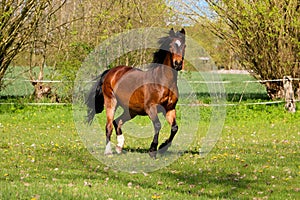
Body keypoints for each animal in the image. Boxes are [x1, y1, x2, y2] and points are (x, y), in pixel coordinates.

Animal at [85, 28, 186, 159]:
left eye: (184, 46)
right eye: (170, 45)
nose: (178, 64)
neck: (162, 82)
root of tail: (111, 71)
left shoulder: (169, 109)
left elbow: (174, 128)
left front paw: (163, 148)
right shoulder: (151, 108)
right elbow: (158, 125)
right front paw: (153, 150)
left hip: (131, 111)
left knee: (117, 121)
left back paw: (119, 147)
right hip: (111, 102)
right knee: (109, 126)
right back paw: (108, 152)